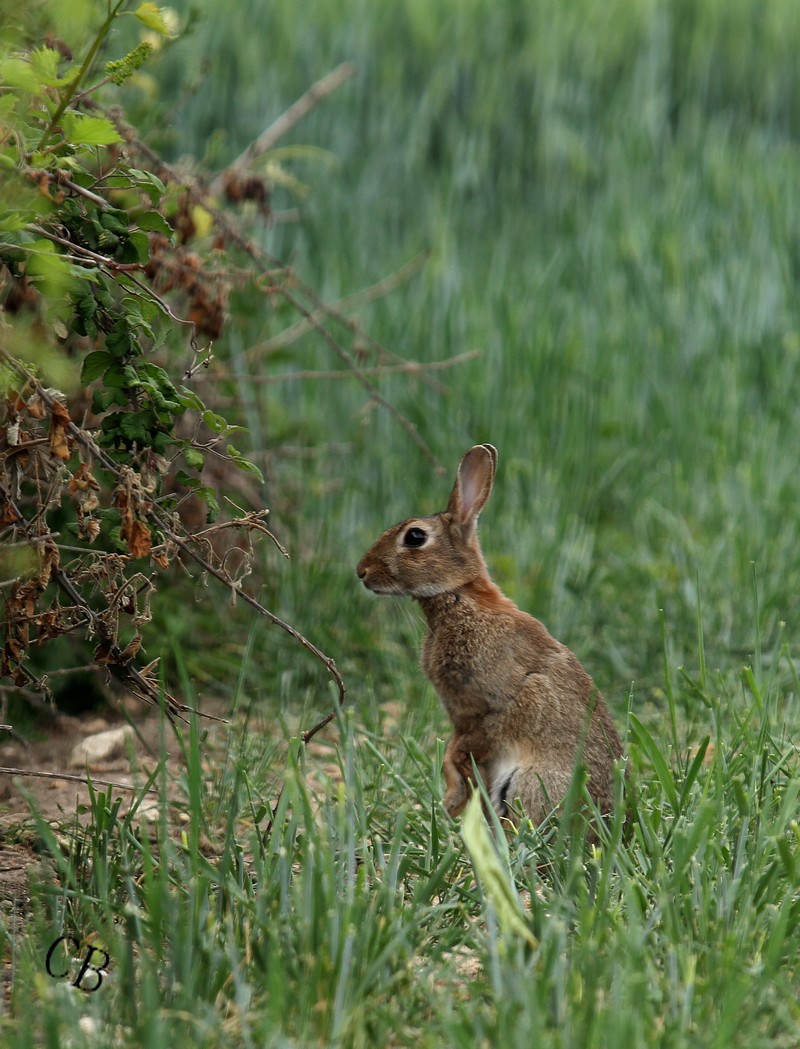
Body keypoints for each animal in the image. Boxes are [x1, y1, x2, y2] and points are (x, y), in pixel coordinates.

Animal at [358, 442, 624, 826]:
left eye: (415, 536)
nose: (361, 572)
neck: (460, 597)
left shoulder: (492, 706)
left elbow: (471, 742)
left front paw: (453, 795)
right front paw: (455, 799)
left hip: (529, 781)